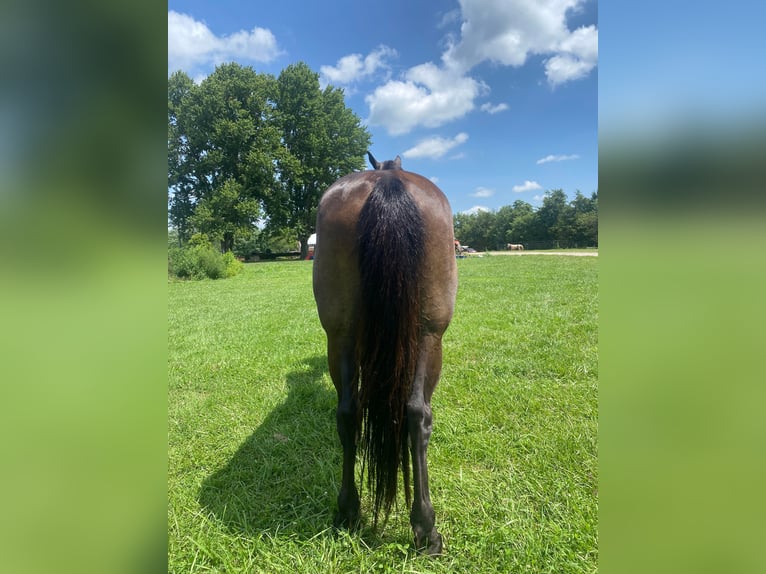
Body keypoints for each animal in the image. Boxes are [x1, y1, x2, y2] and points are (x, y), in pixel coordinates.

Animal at [314, 153, 460, 560]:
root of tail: (387, 183)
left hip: (340, 335)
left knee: (349, 412)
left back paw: (348, 511)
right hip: (430, 336)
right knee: (418, 414)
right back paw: (426, 529)